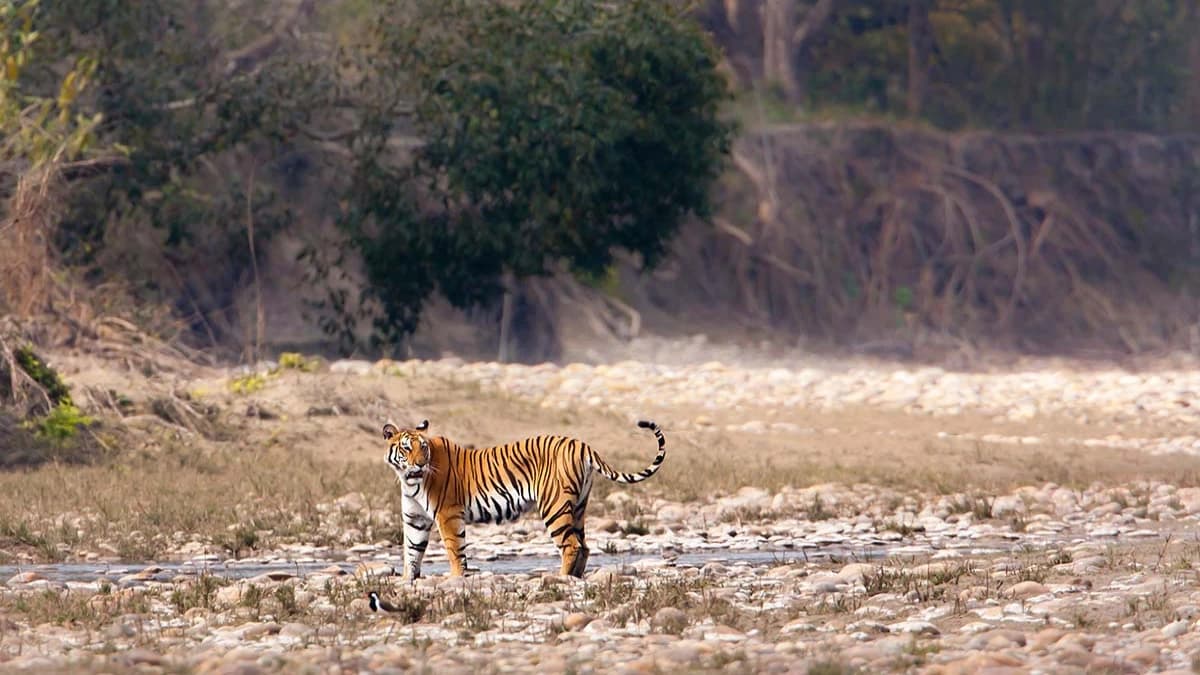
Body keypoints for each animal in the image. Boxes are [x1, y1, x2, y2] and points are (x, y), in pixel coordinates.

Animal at [383, 417, 666, 578]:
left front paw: (455, 579)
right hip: (578, 507)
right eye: (407, 448)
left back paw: (560, 578)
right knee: (583, 545)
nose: (420, 464)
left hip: (553, 506)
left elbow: (454, 550)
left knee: (571, 545)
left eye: (423, 448)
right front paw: (408, 581)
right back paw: (575, 578)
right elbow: (412, 552)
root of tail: (582, 444)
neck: (409, 481)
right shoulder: (415, 519)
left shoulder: (448, 514)